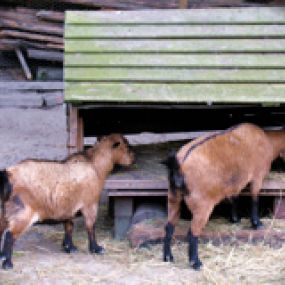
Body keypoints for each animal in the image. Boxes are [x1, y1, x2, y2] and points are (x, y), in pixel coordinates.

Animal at [0, 133, 134, 268]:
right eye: (126, 146)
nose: (133, 160)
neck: (95, 166)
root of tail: (8, 174)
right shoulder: (90, 204)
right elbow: (90, 227)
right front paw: (96, 248)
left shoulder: (68, 207)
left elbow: (69, 226)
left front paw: (70, 247)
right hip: (23, 213)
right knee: (9, 235)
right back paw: (7, 263)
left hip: (3, 213)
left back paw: (2, 256)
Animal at [162, 122, 284, 268]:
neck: (268, 140)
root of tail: (180, 166)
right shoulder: (257, 176)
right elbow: (254, 198)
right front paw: (257, 223)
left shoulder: (235, 183)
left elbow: (234, 198)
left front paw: (235, 219)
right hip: (202, 204)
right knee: (192, 232)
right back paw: (196, 263)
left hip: (173, 197)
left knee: (169, 226)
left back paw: (168, 257)